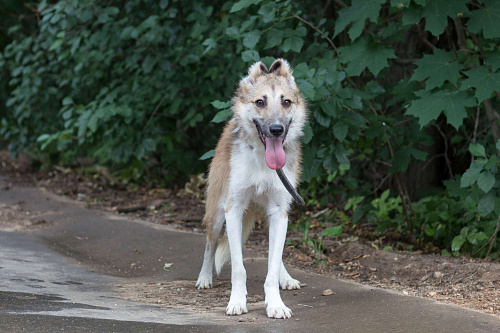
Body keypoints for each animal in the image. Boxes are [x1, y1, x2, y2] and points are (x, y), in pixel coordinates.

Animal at [194, 58, 304, 318]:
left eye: (286, 102)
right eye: (260, 102)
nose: (276, 129)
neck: (264, 161)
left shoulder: (279, 212)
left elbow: (272, 265)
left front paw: (275, 304)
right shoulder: (233, 210)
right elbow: (238, 267)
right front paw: (237, 302)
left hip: (270, 217)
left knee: (276, 254)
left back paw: (286, 278)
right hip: (217, 215)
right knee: (209, 245)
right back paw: (204, 278)